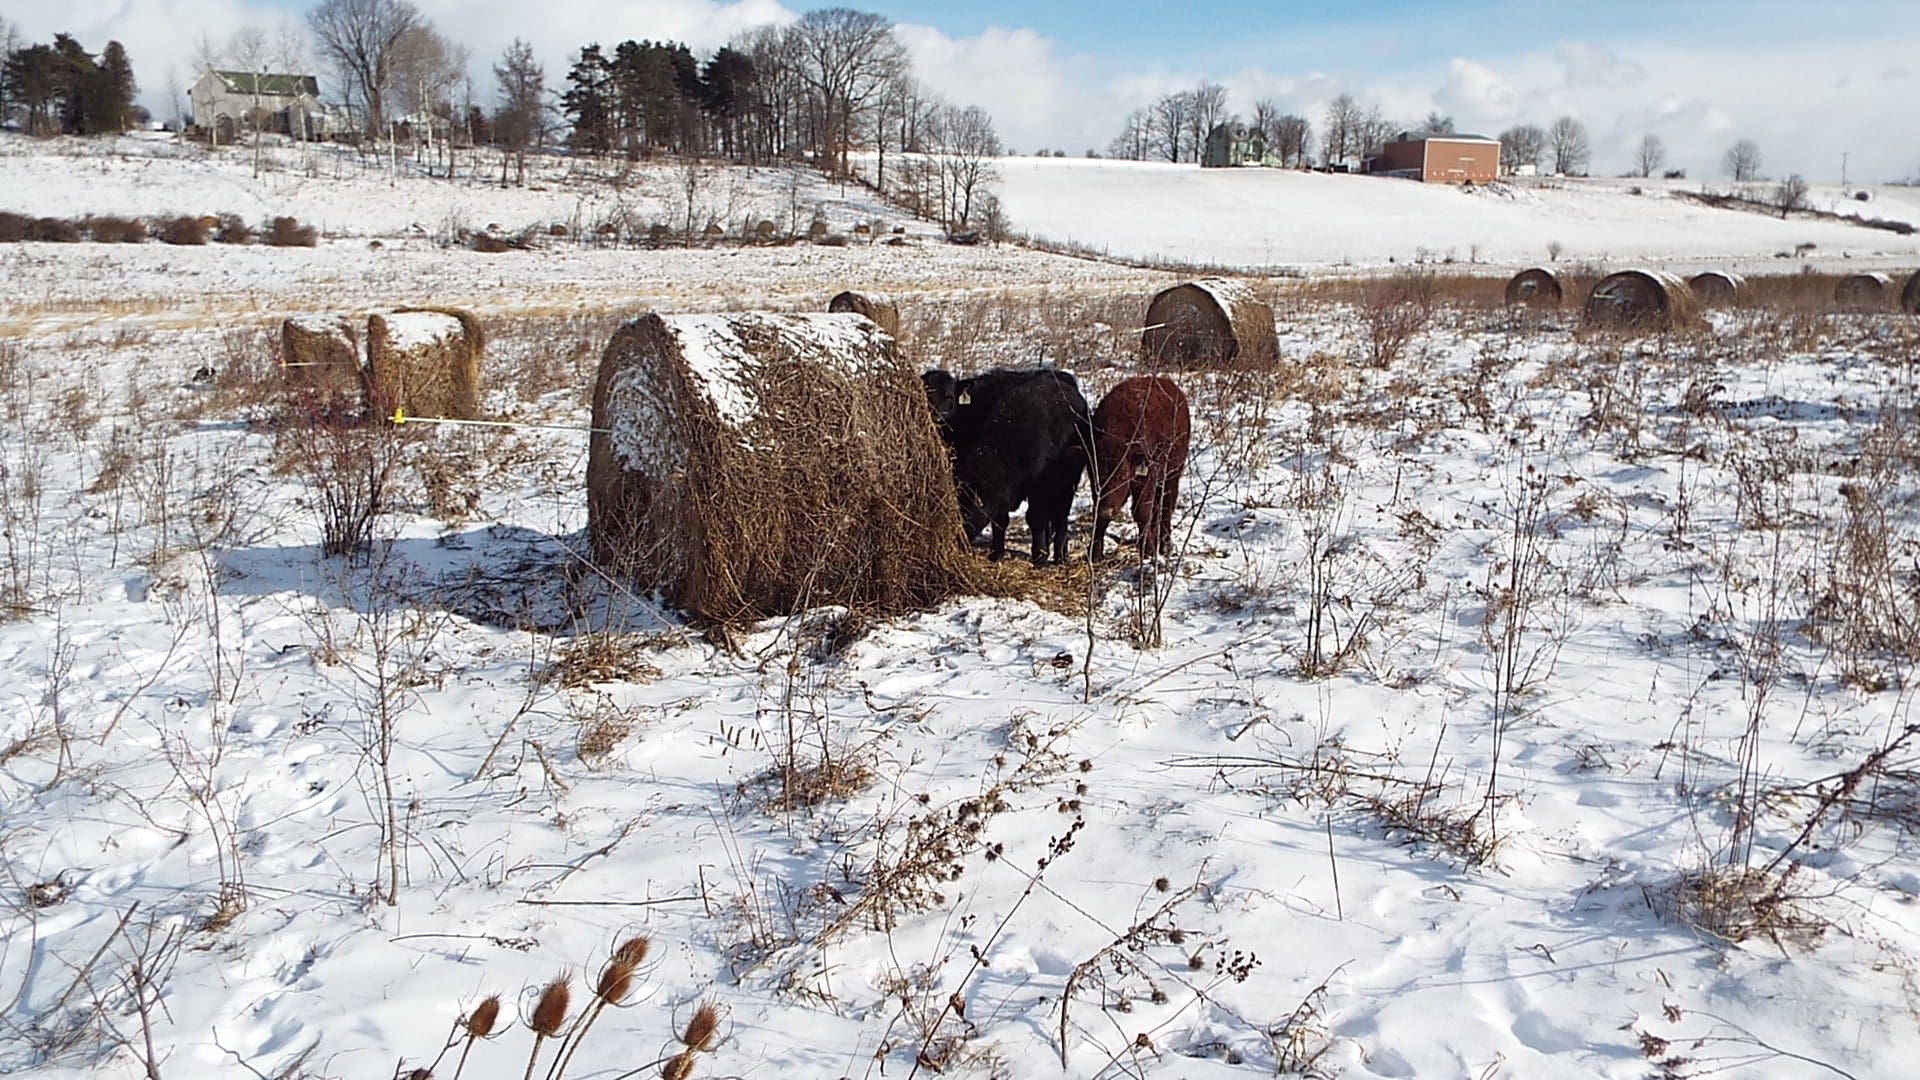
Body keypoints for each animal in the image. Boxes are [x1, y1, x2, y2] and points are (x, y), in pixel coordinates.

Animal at [921, 365, 1090, 564]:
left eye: (949, 397)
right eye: (926, 395)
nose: (937, 418)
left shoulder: (1039, 485)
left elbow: (1035, 517)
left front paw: (1039, 556)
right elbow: (1001, 519)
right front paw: (997, 553)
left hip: (1068, 478)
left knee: (1060, 515)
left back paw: (1060, 556)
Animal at [1090, 376, 1190, 557]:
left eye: (1122, 477)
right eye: (1097, 476)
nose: (1107, 510)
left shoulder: (1148, 478)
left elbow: (1141, 512)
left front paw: (1148, 551)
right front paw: (1095, 554)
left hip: (1173, 473)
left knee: (1166, 506)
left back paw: (1165, 546)